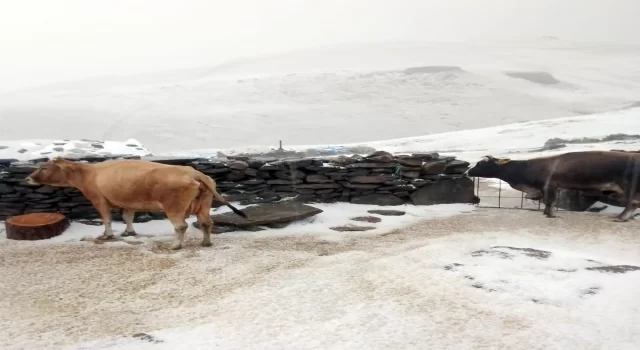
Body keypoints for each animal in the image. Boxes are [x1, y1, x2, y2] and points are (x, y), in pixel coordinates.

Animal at [25, 157, 246, 250]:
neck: (89, 173)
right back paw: (205, 242)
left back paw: (175, 246)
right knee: (207, 223)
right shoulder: (127, 202)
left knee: (180, 226)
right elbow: (127, 217)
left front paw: (107, 235)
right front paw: (128, 232)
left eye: (44, 167)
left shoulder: (98, 199)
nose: (28, 178)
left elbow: (106, 219)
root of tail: (193, 172)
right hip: (203, 204)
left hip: (173, 206)